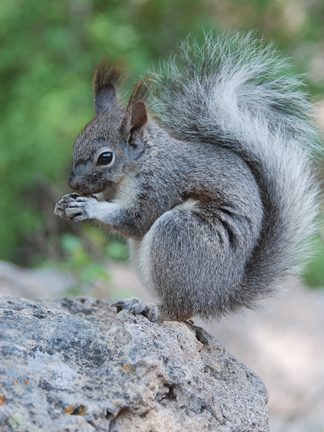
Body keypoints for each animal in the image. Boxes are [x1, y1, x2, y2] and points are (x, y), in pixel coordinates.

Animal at [54, 32, 320, 322]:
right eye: (77, 142)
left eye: (105, 157)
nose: (73, 183)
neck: (142, 163)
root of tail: (220, 295)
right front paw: (65, 202)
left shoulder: (162, 185)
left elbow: (137, 220)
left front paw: (88, 206)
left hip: (179, 233)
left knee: (180, 308)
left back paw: (148, 307)